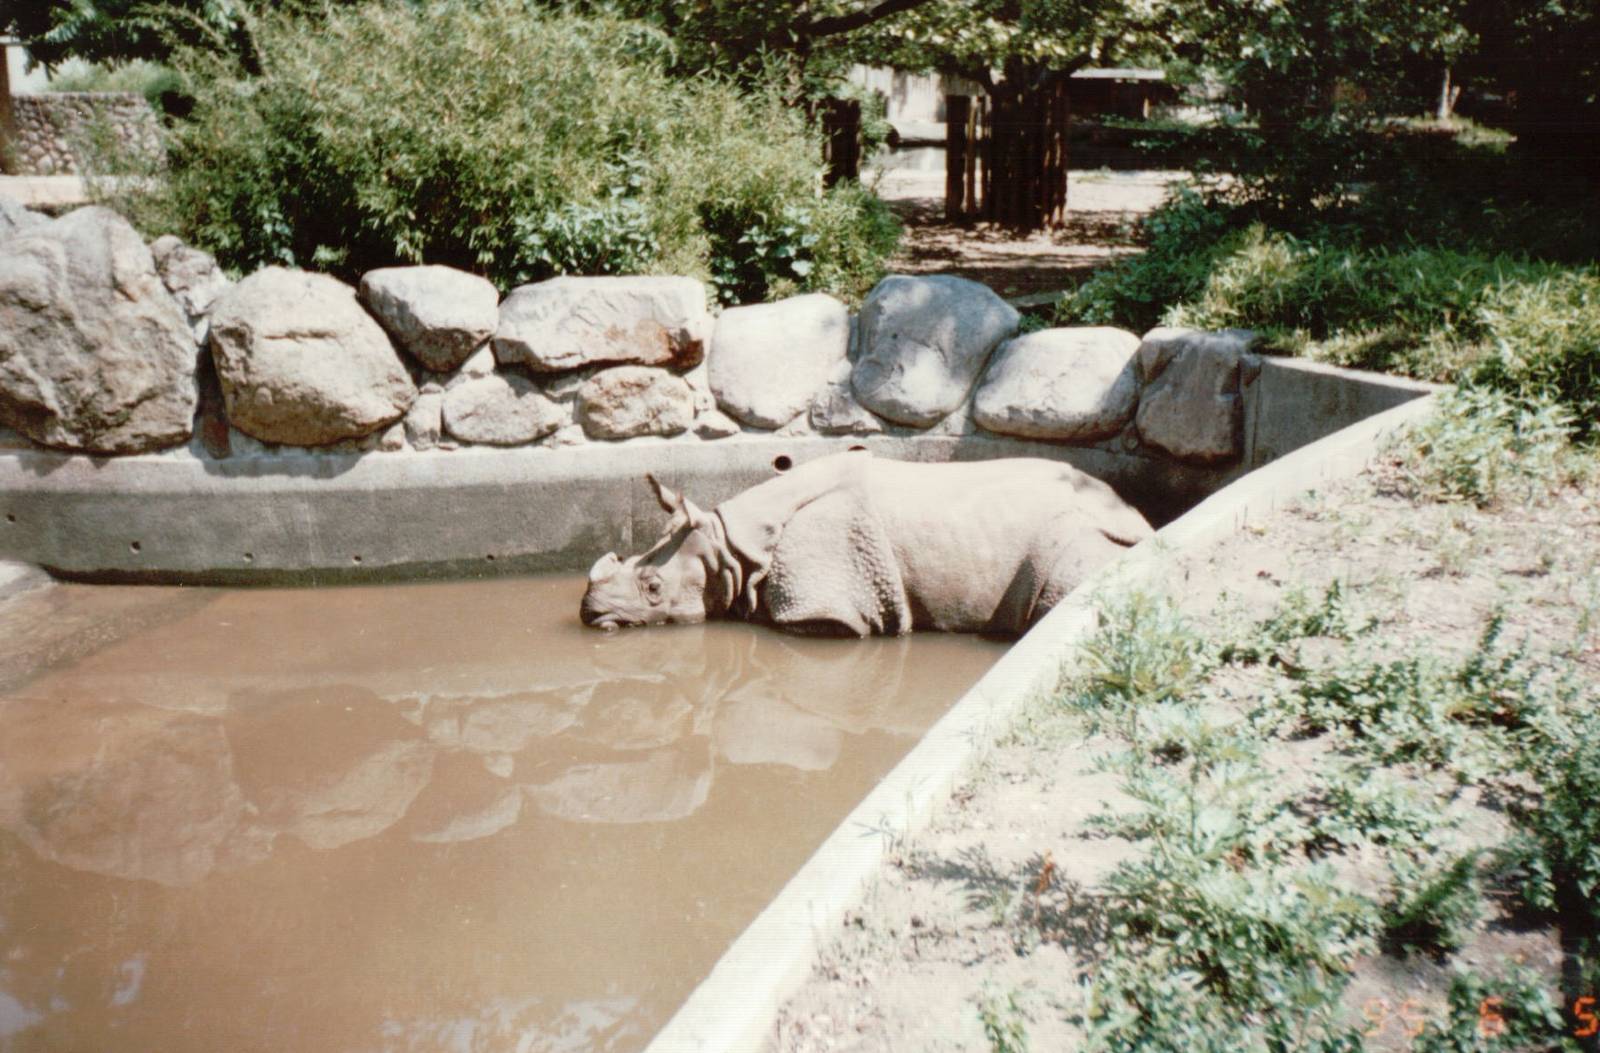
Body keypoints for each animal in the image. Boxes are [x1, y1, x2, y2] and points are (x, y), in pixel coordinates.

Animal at [580, 451, 1153, 637]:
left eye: (653, 588)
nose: (590, 613)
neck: (731, 551)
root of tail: (1143, 521)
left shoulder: (828, 602)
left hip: (1079, 534)